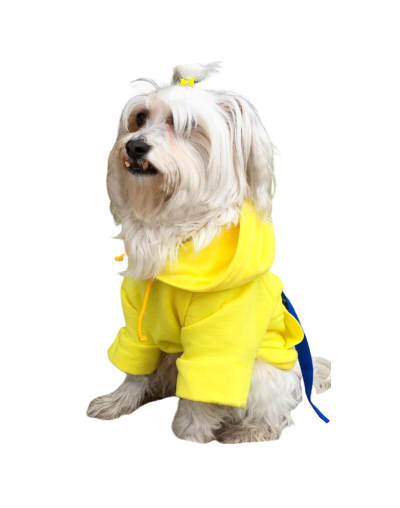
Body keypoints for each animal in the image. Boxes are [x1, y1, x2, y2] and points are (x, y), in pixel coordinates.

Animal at [86, 62, 331, 444]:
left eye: (186, 126)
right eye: (139, 118)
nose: (136, 146)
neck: (173, 234)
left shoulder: (219, 341)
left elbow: (202, 393)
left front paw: (190, 435)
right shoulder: (138, 324)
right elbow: (135, 368)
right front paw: (116, 403)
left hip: (263, 374)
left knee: (276, 412)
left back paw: (248, 432)